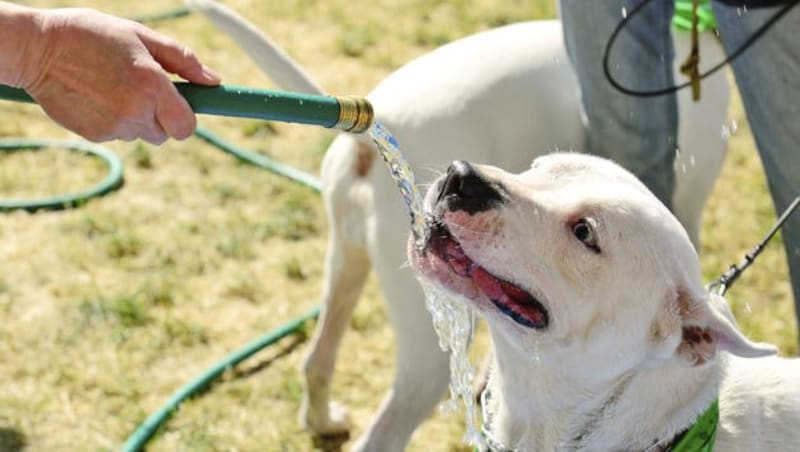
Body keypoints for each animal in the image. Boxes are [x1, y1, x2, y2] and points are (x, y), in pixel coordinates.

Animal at [189, 2, 732, 448]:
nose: (461, 178)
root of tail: (375, 126)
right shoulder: (686, 209)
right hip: (428, 346)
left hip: (346, 260)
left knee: (317, 358)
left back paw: (322, 420)